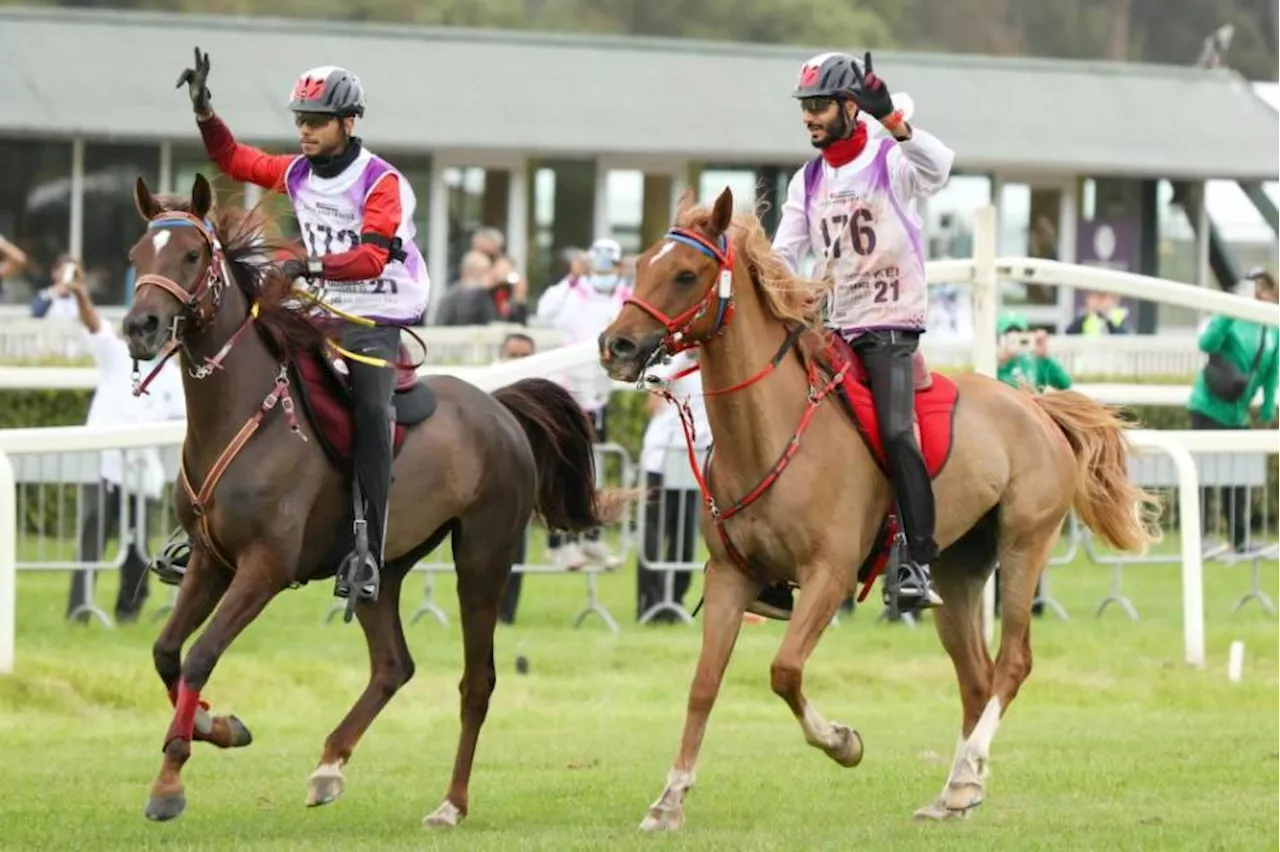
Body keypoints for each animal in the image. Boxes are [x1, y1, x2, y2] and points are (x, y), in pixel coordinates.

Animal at [122, 173, 622, 828]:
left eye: (190, 255)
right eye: (136, 255)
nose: (140, 326)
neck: (245, 412)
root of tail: (499, 406)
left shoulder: (263, 568)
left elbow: (200, 655)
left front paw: (169, 780)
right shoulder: (211, 561)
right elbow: (167, 653)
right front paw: (218, 725)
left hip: (483, 556)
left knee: (476, 681)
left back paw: (450, 804)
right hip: (382, 568)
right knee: (393, 664)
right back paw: (330, 766)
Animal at [599, 188, 1162, 828]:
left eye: (686, 274)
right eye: (642, 264)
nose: (615, 346)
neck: (771, 430)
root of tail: (1035, 407)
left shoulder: (828, 576)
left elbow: (784, 671)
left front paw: (842, 742)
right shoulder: (729, 578)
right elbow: (703, 685)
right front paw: (669, 801)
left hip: (1025, 547)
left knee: (1012, 664)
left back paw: (968, 774)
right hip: (957, 573)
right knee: (976, 678)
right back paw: (956, 790)